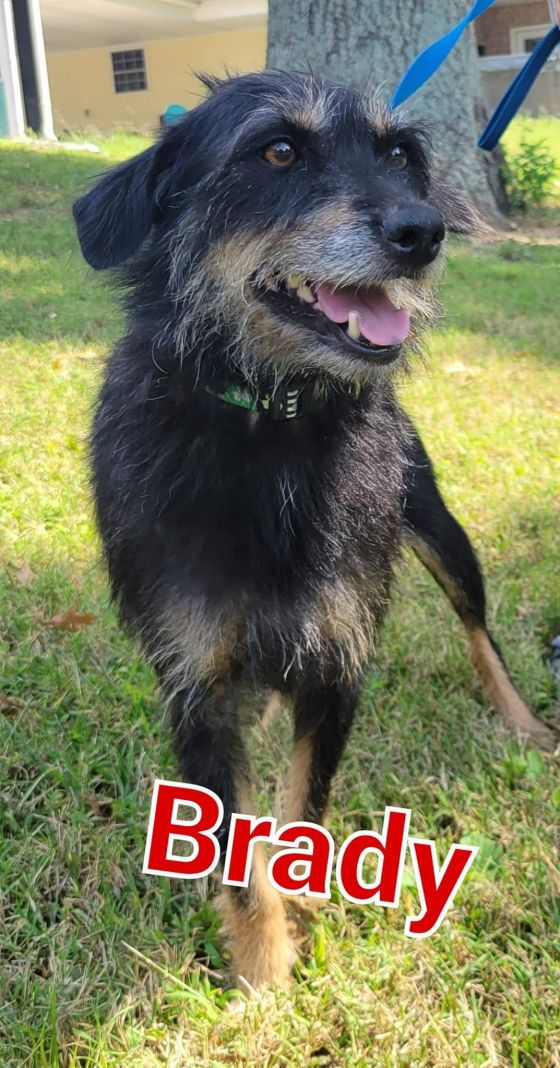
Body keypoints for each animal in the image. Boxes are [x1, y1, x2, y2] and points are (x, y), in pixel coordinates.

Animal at [73, 70, 553, 991]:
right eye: (278, 150)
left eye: (399, 154)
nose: (422, 232)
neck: (269, 424)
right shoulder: (194, 683)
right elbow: (235, 850)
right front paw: (265, 983)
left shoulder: (339, 663)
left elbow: (306, 805)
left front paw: (296, 930)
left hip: (440, 531)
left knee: (479, 629)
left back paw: (522, 721)